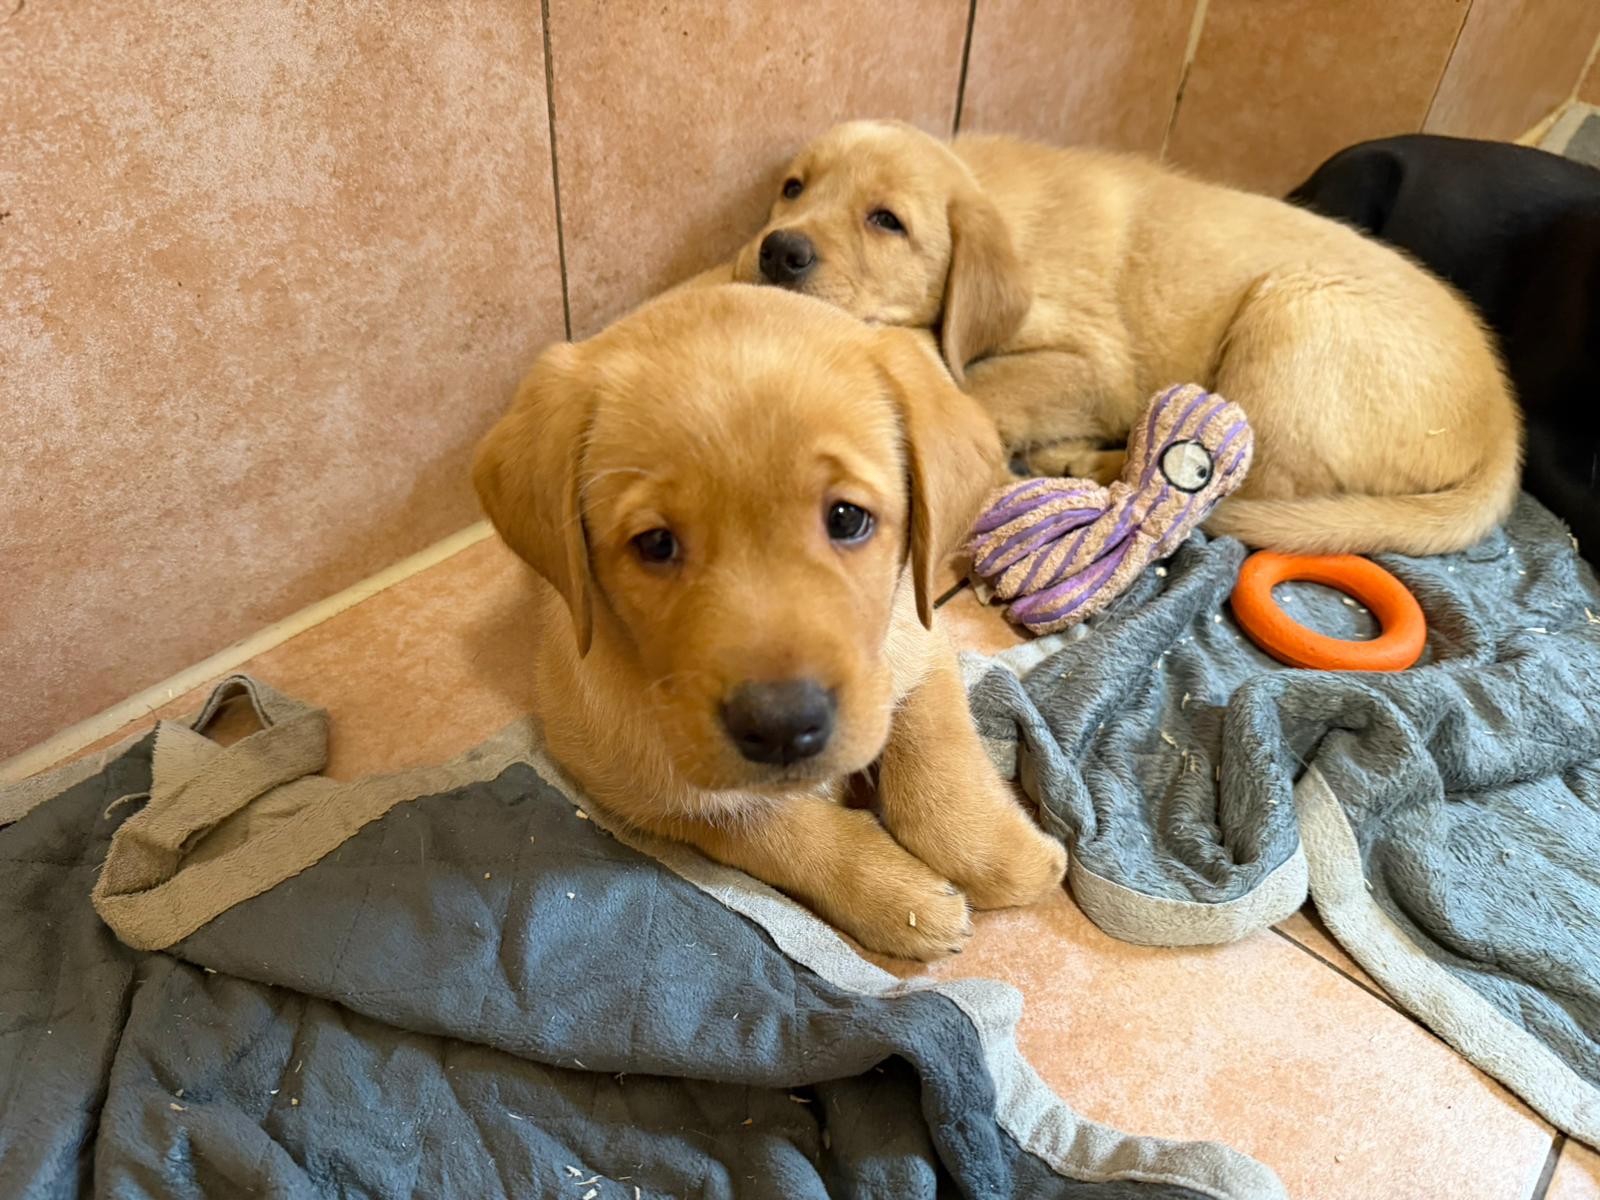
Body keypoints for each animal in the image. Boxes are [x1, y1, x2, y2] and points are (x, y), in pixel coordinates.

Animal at [472, 284, 1067, 960]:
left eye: (847, 518)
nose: (783, 727)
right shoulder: (630, 783)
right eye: (655, 544)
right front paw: (899, 898)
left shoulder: (917, 638)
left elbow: (936, 748)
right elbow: (770, 827)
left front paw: (1002, 854)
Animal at [706, 120, 1522, 557]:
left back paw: (1093, 460)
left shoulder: (1097, 366)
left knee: (1244, 480)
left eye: (886, 221)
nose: (778, 252)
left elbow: (983, 381)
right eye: (792, 189)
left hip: (1293, 315)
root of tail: (1503, 424)